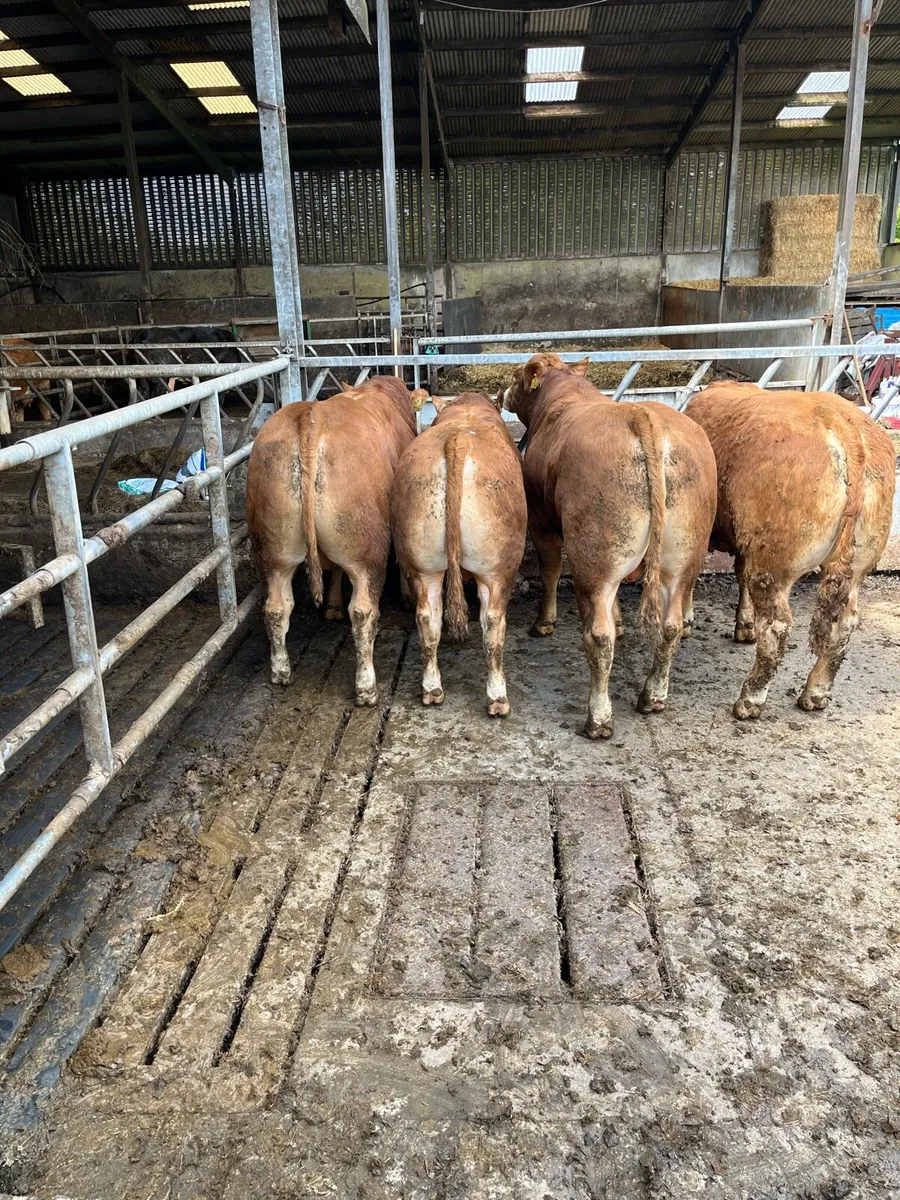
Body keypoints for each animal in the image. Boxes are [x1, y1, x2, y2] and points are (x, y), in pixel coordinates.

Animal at [246, 376, 427, 704]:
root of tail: (311, 417)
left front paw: (331, 606)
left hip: (272, 549)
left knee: (276, 608)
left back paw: (281, 672)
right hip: (365, 550)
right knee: (363, 611)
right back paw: (366, 688)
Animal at [391, 392, 527, 715]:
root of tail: (458, 439)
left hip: (422, 563)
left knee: (428, 619)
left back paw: (432, 689)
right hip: (497, 569)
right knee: (493, 624)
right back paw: (497, 697)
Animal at [503, 354, 717, 739]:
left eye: (516, 376)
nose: (503, 393)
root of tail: (640, 416)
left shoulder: (541, 518)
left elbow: (550, 569)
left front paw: (544, 622)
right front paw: (620, 620)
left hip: (595, 558)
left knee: (599, 637)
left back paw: (599, 719)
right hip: (681, 555)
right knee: (670, 627)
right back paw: (653, 696)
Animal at [686, 382, 896, 719]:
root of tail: (842, 424)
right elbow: (739, 574)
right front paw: (745, 626)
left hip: (773, 564)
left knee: (777, 627)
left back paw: (750, 700)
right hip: (858, 564)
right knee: (844, 625)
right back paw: (816, 692)